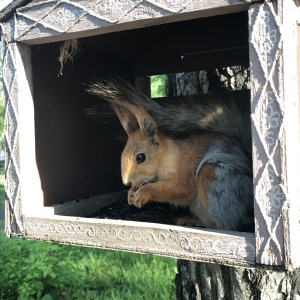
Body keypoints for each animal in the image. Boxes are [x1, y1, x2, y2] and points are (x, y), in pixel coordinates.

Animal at [88, 78, 253, 231]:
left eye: (140, 157)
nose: (127, 182)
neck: (166, 154)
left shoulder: (183, 170)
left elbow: (179, 187)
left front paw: (144, 192)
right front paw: (130, 193)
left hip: (216, 178)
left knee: (226, 226)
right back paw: (191, 220)